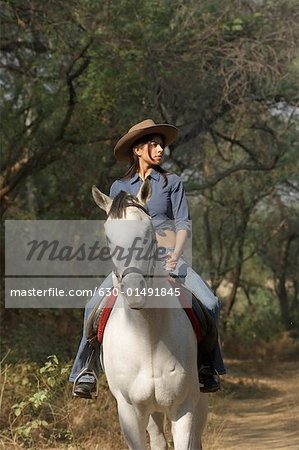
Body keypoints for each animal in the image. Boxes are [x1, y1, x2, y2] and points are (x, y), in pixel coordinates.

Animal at [92, 180, 209, 450]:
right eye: (108, 237)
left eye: (147, 232)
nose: (134, 290)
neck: (147, 336)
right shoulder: (129, 411)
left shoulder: (184, 407)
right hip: (152, 409)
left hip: (199, 401)